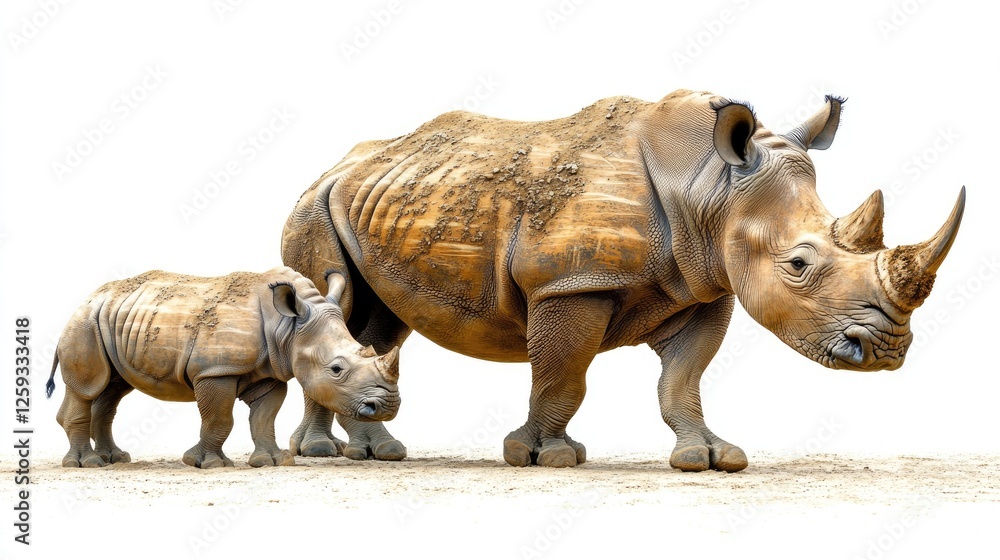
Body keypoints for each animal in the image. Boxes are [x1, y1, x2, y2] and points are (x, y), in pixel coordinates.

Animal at [45, 266, 400, 468]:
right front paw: (206, 464)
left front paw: (272, 461)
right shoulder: (215, 371)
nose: (386, 407)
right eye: (336, 369)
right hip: (84, 325)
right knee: (88, 388)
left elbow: (264, 417)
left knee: (112, 389)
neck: (288, 329)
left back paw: (114, 459)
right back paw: (87, 464)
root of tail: (87, 299)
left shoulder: (270, 373)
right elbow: (219, 419)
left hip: (112, 322)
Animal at [281, 89, 964, 472]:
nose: (886, 351)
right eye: (798, 265)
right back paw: (324, 456)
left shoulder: (704, 285)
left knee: (379, 325)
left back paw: (376, 452)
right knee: (339, 307)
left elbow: (682, 381)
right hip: (313, 207)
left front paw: (711, 458)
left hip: (373, 203)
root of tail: (334, 165)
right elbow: (563, 377)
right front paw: (547, 457)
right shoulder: (571, 283)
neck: (711, 188)